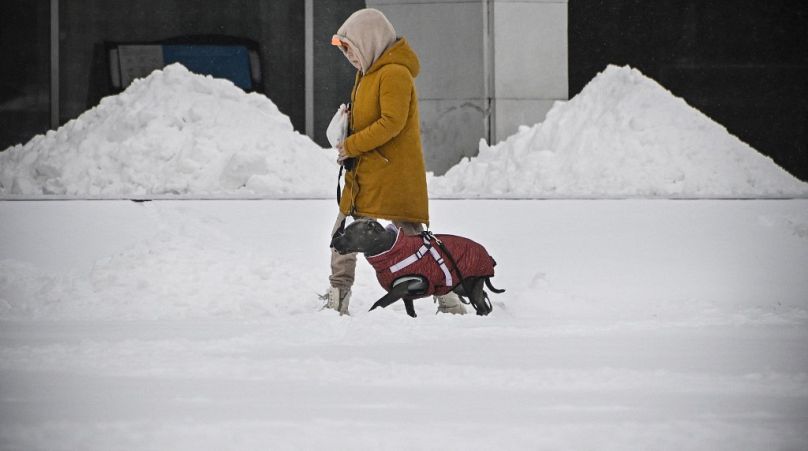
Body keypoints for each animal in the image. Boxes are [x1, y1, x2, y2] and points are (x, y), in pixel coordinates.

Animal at [328, 219, 504, 318]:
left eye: (348, 232)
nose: (332, 242)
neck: (389, 248)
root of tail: (487, 255)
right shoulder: (406, 295)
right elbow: (410, 312)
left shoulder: (398, 289)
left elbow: (378, 303)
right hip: (461, 285)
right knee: (483, 297)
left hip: (470, 285)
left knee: (482, 304)